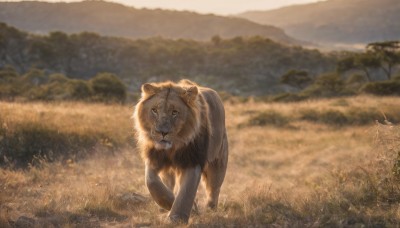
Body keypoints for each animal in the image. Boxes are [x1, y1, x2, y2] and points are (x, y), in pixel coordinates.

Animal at [134, 79, 228, 224]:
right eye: (154, 110)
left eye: (174, 112)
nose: (162, 132)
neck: (173, 148)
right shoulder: (154, 158)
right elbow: (151, 182)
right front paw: (168, 203)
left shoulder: (193, 161)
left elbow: (186, 192)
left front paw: (178, 217)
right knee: (168, 182)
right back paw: (163, 208)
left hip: (218, 161)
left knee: (214, 188)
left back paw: (211, 210)